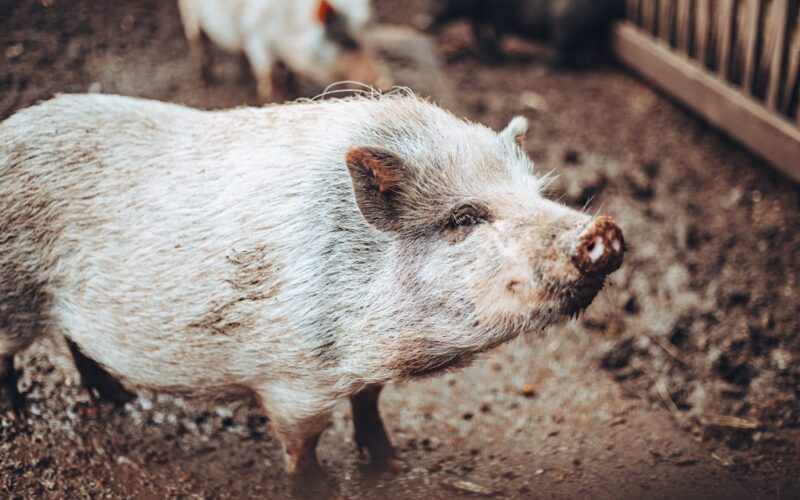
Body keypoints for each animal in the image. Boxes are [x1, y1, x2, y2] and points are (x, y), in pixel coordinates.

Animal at [0, 92, 624, 490]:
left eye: (534, 193)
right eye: (464, 218)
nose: (603, 230)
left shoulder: (360, 370)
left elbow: (369, 402)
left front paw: (389, 465)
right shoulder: (290, 381)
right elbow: (302, 445)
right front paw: (323, 487)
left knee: (76, 342)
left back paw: (118, 399)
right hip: (13, 294)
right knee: (13, 356)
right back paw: (20, 412)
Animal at [177, 0, 387, 100]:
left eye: (370, 40)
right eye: (347, 42)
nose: (383, 84)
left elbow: (288, 70)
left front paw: (293, 89)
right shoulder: (257, 41)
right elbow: (266, 75)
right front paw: (273, 98)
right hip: (189, 14)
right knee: (197, 40)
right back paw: (205, 80)